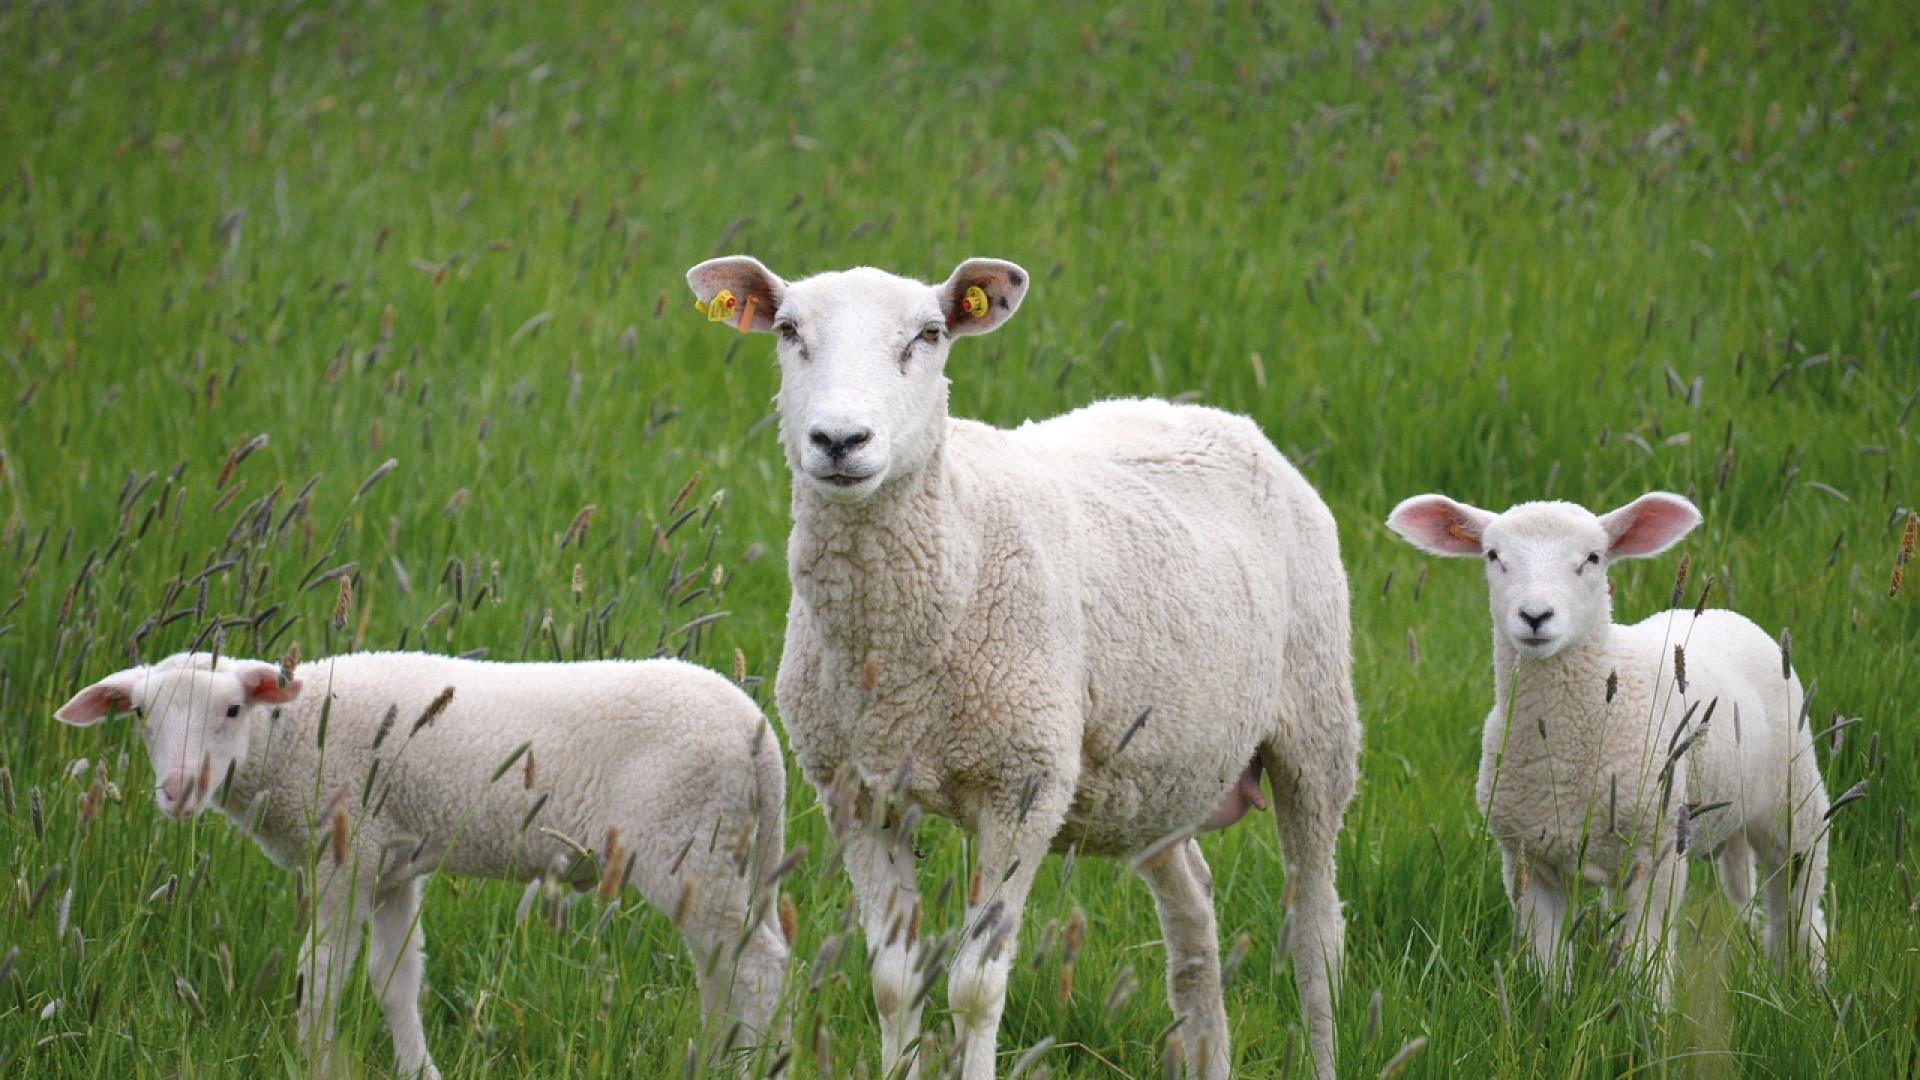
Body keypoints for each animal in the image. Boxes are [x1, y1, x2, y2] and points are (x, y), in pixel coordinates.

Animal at [54, 645, 787, 1076]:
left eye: (233, 709)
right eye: (141, 716)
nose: (179, 789)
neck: (288, 742)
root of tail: (757, 732)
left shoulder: (345, 855)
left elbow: (321, 974)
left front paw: (315, 1062)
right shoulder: (391, 864)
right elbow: (394, 979)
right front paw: (418, 1070)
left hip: (689, 845)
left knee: (756, 966)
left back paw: (748, 1064)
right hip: (722, 852)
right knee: (725, 966)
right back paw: (720, 1057)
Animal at [683, 259, 1359, 1076]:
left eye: (929, 335)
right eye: (787, 331)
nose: (840, 440)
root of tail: (1221, 418)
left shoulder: (1023, 787)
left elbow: (974, 989)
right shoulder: (858, 790)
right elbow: (893, 982)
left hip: (1317, 726)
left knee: (1317, 939)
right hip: (1159, 775)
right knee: (1195, 916)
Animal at [1390, 491, 1820, 999]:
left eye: (1593, 558)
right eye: (1493, 556)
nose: (1535, 617)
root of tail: (1721, 614)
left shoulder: (1657, 855)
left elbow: (1646, 962)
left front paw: (1650, 1015)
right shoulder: (1529, 861)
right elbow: (1549, 962)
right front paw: (1551, 1010)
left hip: (1794, 799)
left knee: (1799, 904)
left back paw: (1807, 983)